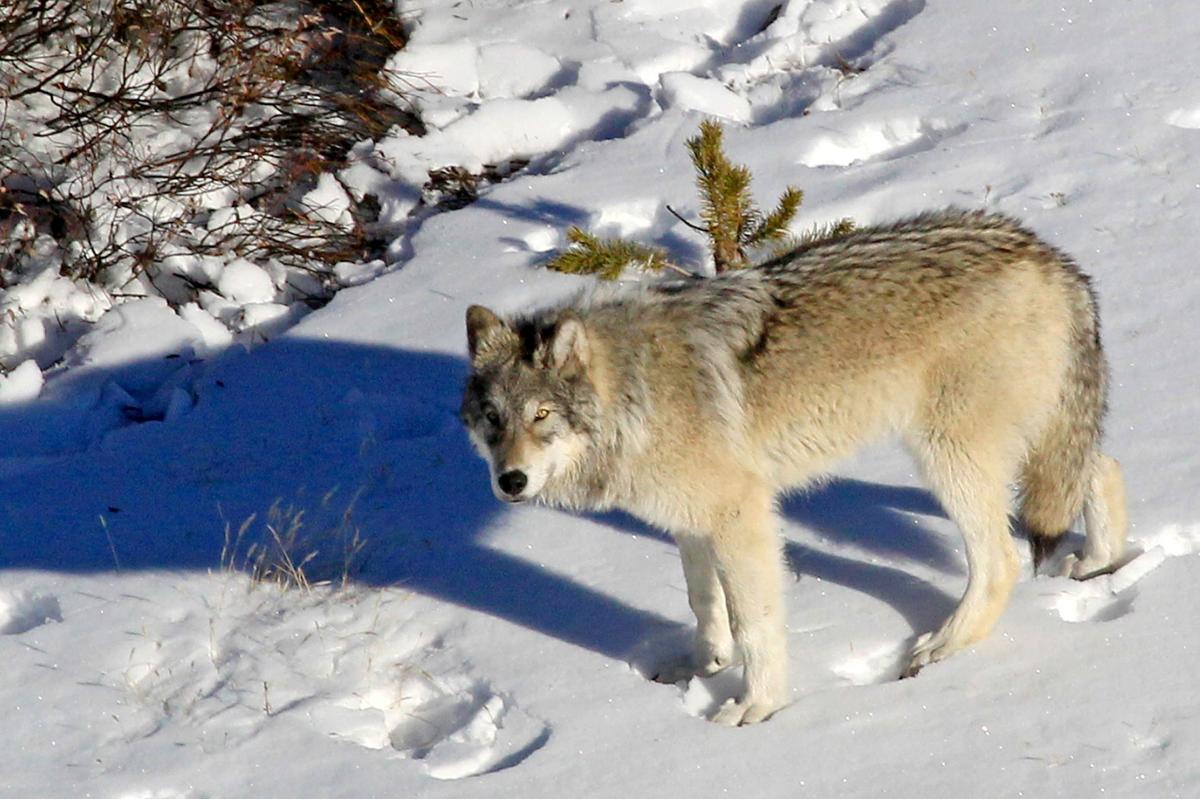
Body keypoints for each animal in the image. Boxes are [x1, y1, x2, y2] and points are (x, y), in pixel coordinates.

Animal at [460, 209, 1127, 726]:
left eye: (542, 415)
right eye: (493, 418)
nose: (510, 481)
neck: (636, 391)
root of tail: (1048, 254)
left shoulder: (741, 514)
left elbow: (754, 622)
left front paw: (757, 707)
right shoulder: (690, 521)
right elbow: (703, 602)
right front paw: (703, 667)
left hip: (949, 457)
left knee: (1002, 561)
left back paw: (941, 647)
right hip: (1029, 441)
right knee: (1103, 467)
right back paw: (1100, 563)